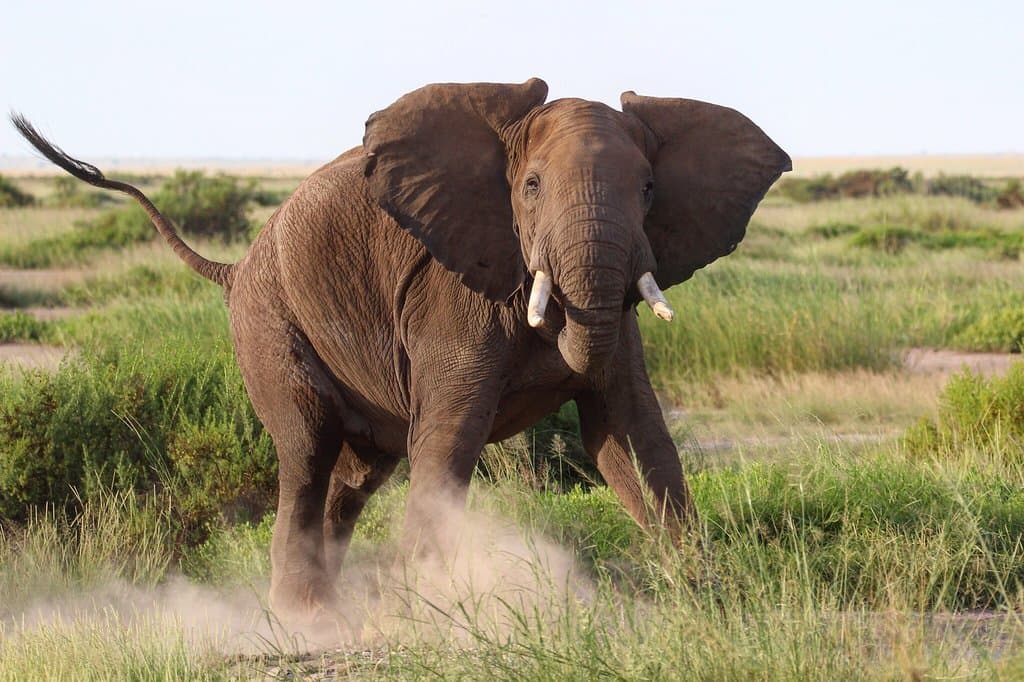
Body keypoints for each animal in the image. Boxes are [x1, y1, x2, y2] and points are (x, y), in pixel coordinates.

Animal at [9, 76, 790, 618]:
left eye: (651, 188)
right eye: (531, 187)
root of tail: (233, 267)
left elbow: (632, 432)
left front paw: (703, 595)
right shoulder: (449, 298)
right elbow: (449, 440)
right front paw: (429, 608)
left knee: (354, 477)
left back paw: (333, 609)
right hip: (269, 323)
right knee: (307, 451)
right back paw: (303, 619)